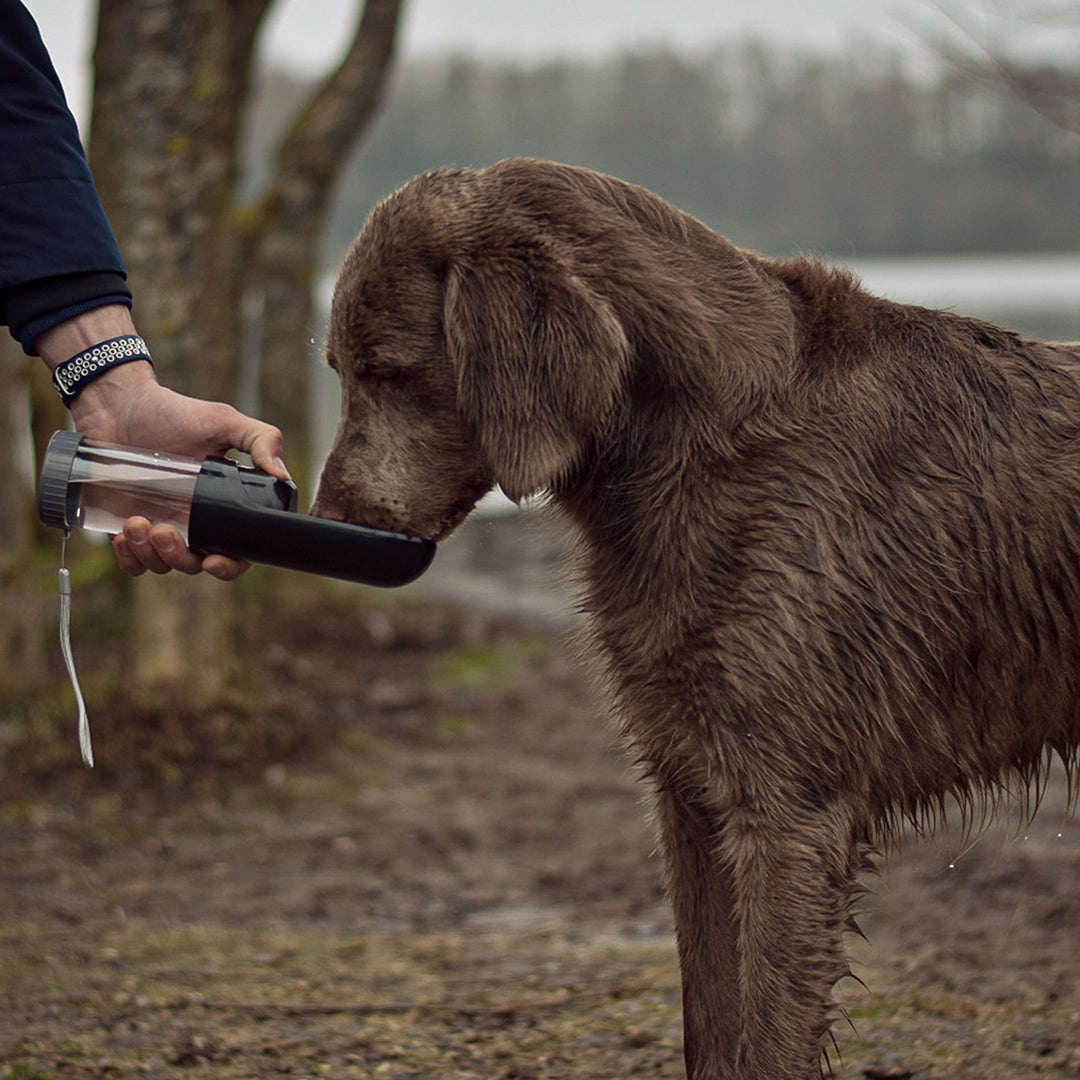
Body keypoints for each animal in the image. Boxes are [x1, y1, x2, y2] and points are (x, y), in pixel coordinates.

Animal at [311, 156, 1080, 1075]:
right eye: (339, 368)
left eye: (388, 370)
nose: (325, 517)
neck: (699, 442)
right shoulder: (689, 792)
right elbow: (711, 1024)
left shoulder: (788, 815)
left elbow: (767, 1040)